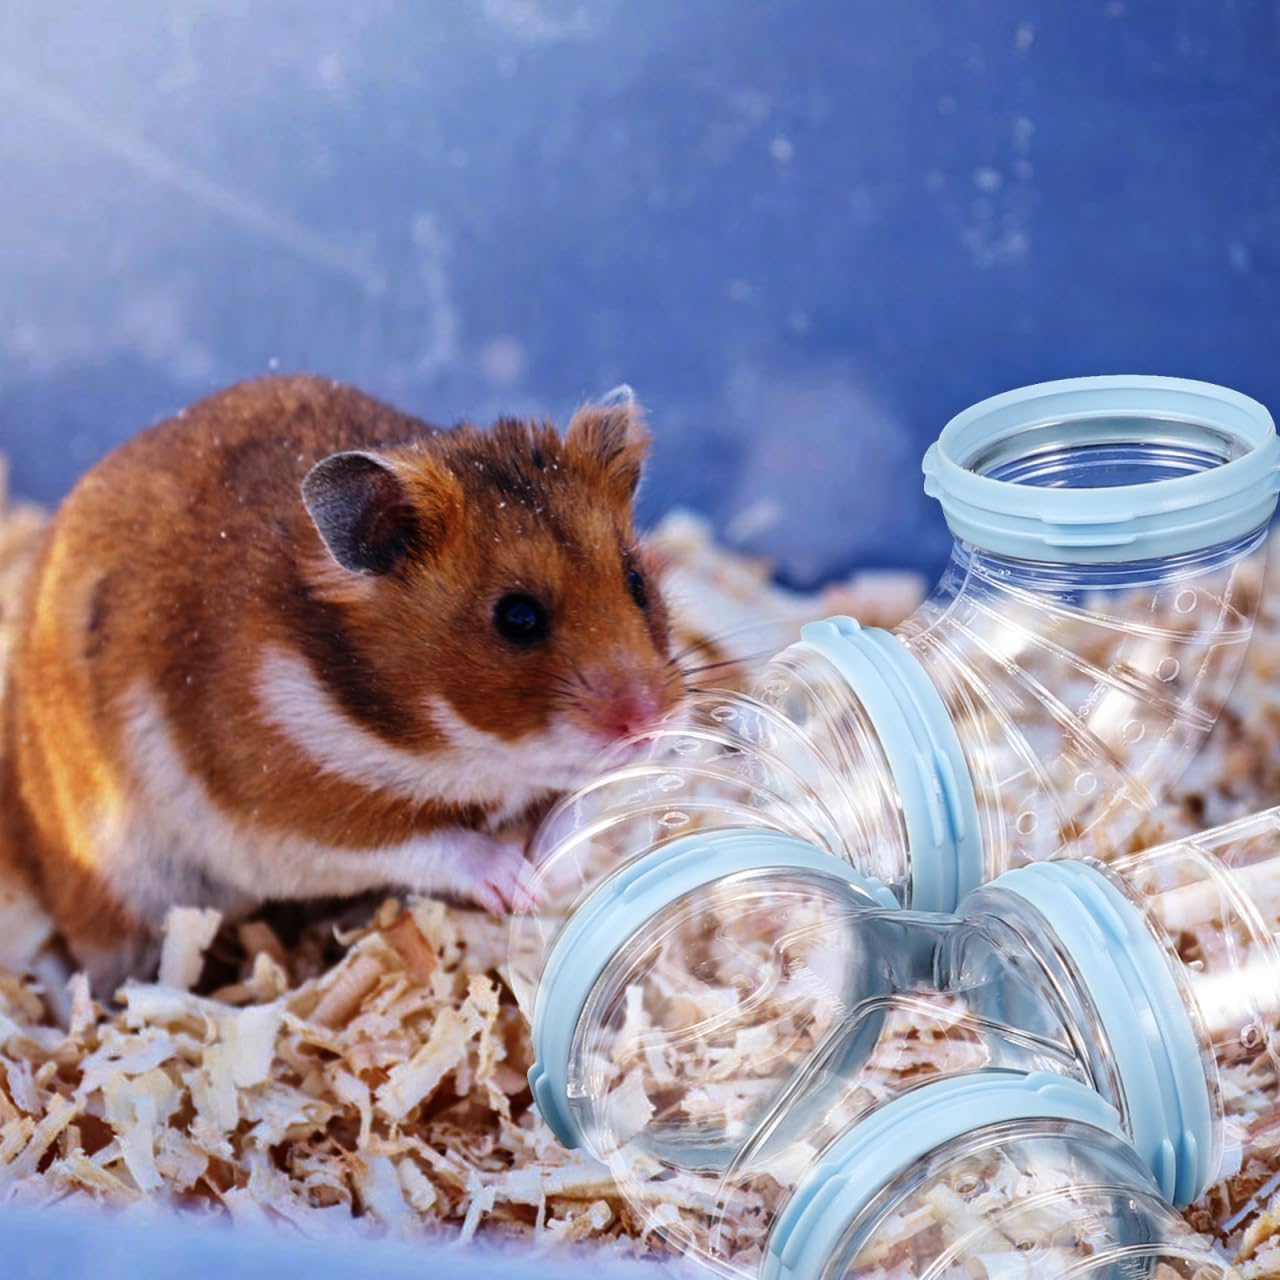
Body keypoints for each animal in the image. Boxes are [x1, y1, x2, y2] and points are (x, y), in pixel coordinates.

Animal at [0, 375, 683, 993]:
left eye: (636, 581)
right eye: (517, 617)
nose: (648, 724)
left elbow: (581, 803)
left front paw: (552, 873)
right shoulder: (292, 819)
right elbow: (433, 843)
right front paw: (520, 886)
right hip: (119, 883)